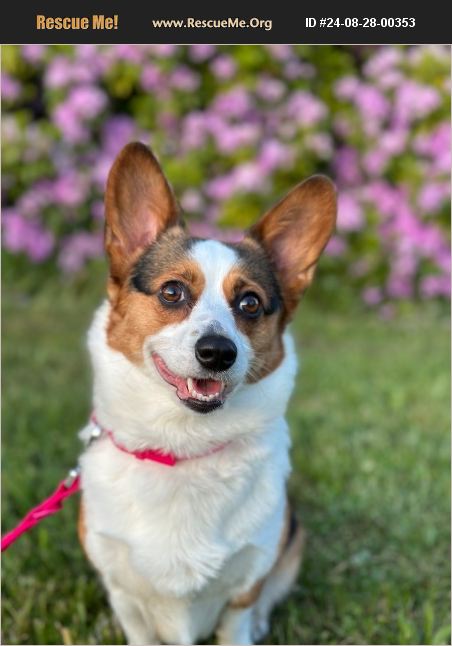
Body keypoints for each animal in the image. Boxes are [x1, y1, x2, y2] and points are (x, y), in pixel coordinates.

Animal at [78, 141, 336, 645]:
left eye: (250, 303)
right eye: (172, 292)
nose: (218, 352)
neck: (183, 445)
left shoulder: (249, 575)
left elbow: (238, 620)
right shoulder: (122, 589)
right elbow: (137, 626)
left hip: (293, 538)